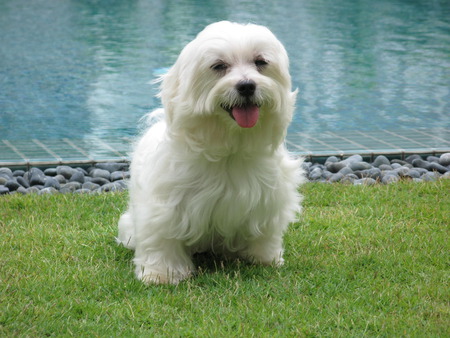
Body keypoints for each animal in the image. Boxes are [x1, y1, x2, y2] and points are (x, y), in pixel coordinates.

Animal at [118, 21, 304, 284]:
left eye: (260, 62)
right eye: (218, 66)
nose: (247, 85)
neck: (229, 147)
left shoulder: (268, 199)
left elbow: (264, 232)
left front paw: (265, 257)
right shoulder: (164, 207)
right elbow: (162, 238)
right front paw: (161, 273)